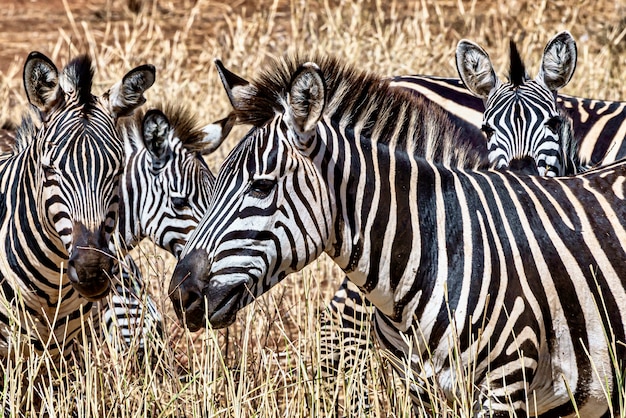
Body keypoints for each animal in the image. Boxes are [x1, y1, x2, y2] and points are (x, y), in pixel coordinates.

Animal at [168, 54, 624, 414]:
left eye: (261, 187)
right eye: (214, 184)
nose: (180, 294)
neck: (442, 249)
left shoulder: (507, 386)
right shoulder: (419, 389)